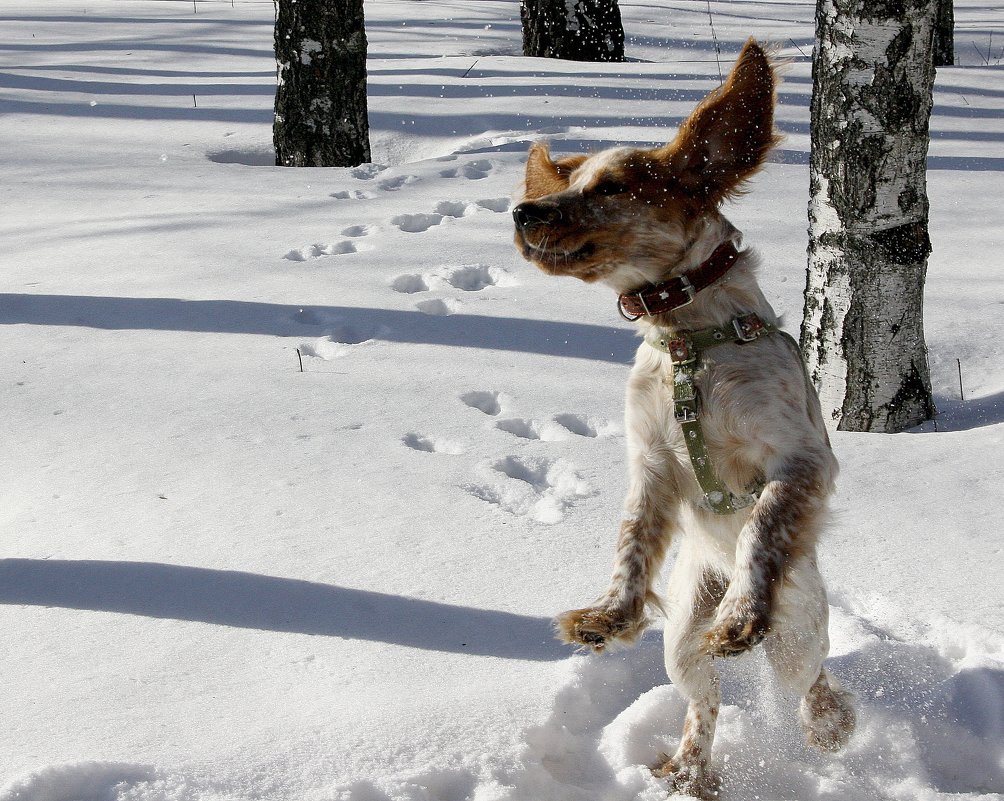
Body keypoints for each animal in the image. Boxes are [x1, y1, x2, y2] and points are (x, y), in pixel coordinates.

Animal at [510, 39, 855, 801]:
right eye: (570, 176)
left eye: (612, 186)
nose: (522, 211)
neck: (684, 340)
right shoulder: (651, 464)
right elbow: (632, 544)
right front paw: (608, 616)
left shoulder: (800, 460)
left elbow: (762, 527)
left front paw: (743, 615)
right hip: (680, 642)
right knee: (704, 701)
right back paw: (691, 770)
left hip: (798, 628)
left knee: (810, 677)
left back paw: (827, 722)